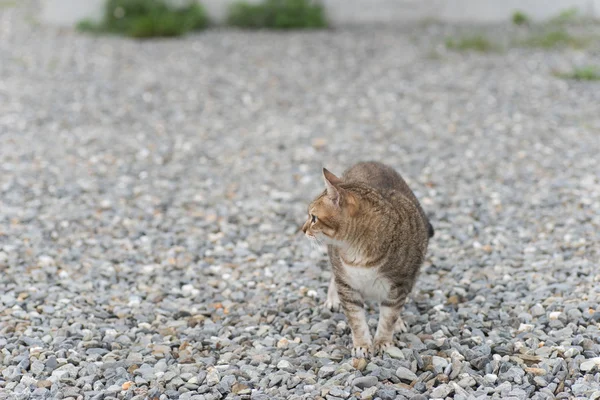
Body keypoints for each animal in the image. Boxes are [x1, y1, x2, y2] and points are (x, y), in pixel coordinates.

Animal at [302, 161, 434, 358]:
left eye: (314, 218)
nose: (303, 229)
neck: (357, 251)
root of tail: (368, 162)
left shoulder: (399, 285)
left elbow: (388, 318)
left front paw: (384, 342)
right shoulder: (347, 286)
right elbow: (357, 321)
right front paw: (362, 345)